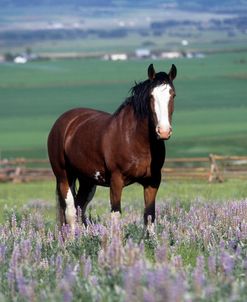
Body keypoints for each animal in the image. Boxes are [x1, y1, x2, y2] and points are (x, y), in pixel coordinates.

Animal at [47, 62, 177, 230]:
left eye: (172, 95)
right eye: (151, 96)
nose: (163, 131)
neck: (135, 139)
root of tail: (64, 122)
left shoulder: (152, 182)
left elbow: (149, 216)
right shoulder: (116, 181)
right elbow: (116, 216)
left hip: (88, 181)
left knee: (80, 207)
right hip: (64, 177)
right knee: (70, 212)